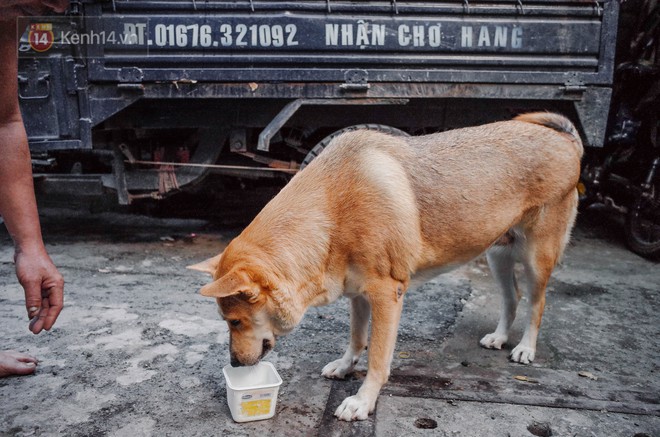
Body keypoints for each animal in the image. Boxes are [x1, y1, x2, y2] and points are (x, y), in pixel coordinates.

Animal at [189, 112, 584, 418]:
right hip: (497, 255)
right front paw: (345, 365)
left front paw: (363, 401)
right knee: (511, 299)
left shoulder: (385, 296)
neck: (332, 210)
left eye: (235, 322)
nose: (234, 365)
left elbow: (378, 359)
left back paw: (526, 347)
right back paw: (501, 337)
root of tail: (562, 137)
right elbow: (357, 338)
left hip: (536, 260)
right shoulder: (358, 295)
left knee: (536, 303)